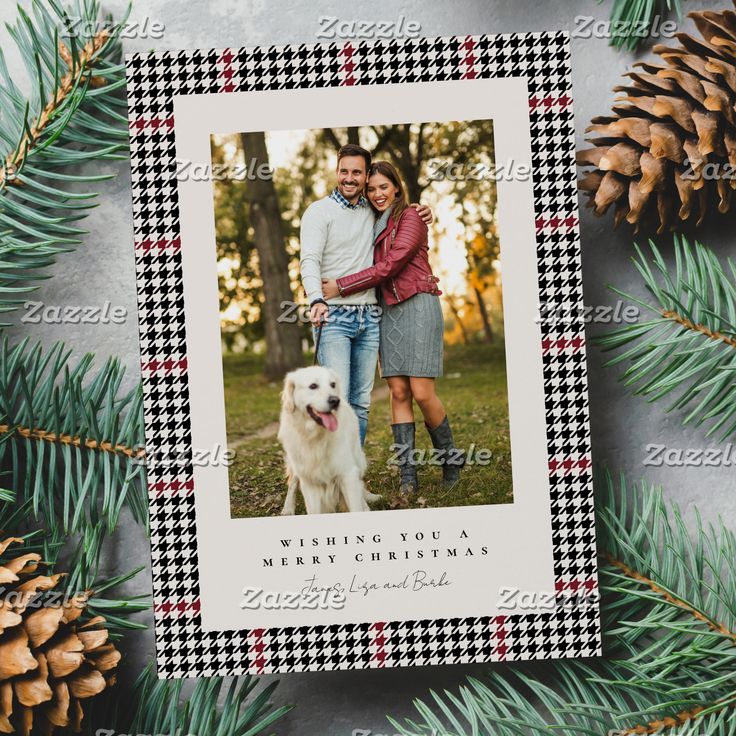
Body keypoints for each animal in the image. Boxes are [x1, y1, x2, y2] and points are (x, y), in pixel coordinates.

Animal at [276, 366, 380, 516]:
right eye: (313, 386)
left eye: (332, 384)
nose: (335, 401)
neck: (316, 437)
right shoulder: (309, 482)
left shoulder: (347, 473)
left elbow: (355, 504)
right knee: (293, 482)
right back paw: (288, 508)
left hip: (358, 459)